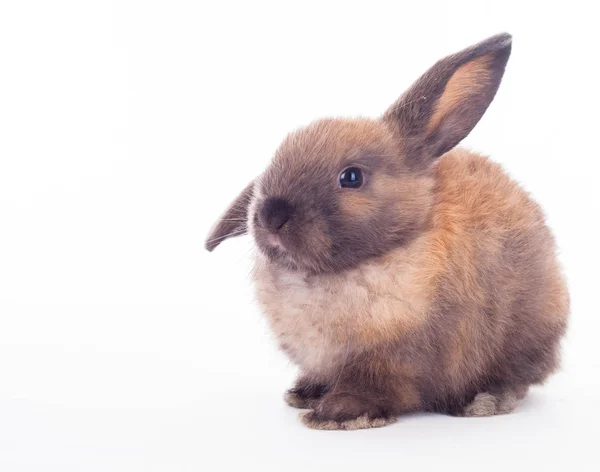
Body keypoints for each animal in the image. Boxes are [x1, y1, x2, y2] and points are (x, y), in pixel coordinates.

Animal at [205, 33, 568, 430]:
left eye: (351, 177)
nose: (271, 215)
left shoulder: (393, 363)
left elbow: (375, 389)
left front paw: (336, 415)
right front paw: (305, 394)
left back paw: (484, 401)